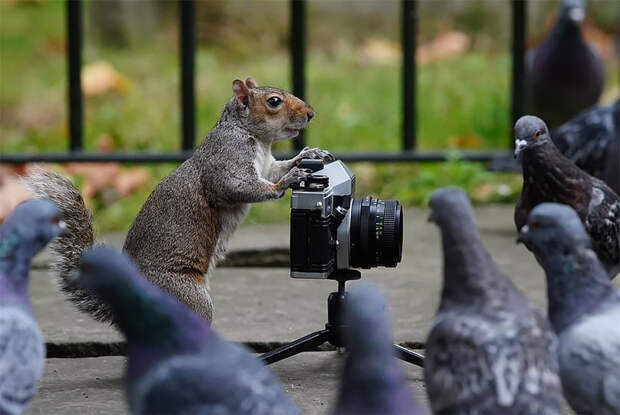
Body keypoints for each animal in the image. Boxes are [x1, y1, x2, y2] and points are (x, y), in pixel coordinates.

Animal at [23, 79, 334, 324]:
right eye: (274, 102)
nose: (311, 113)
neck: (254, 137)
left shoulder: (265, 166)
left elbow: (273, 171)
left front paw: (308, 154)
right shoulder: (225, 161)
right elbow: (236, 187)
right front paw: (290, 179)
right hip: (185, 296)